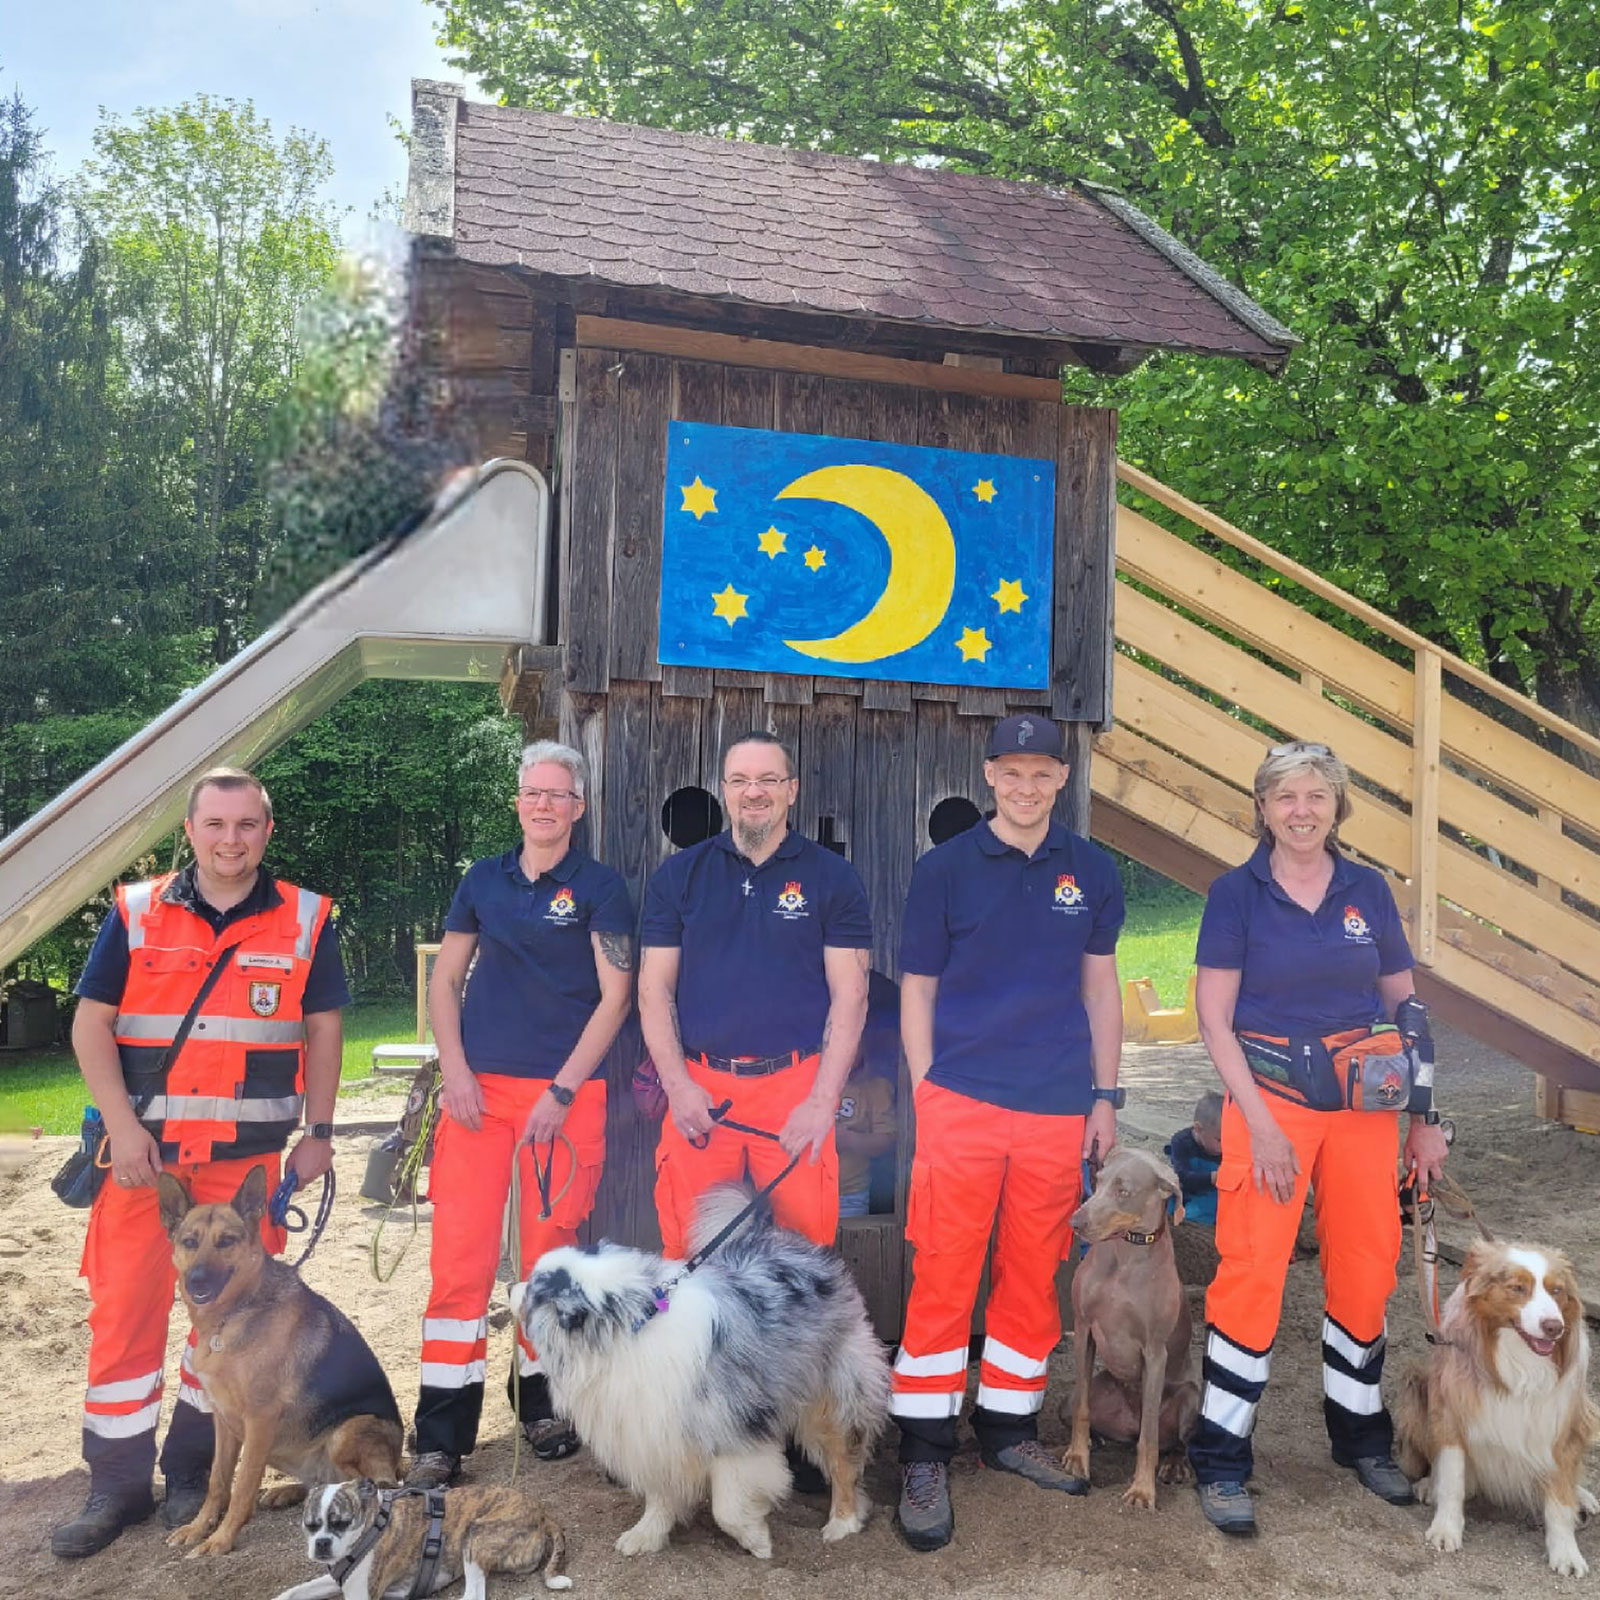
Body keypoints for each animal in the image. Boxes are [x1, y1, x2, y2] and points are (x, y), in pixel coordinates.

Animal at [158, 1171, 403, 1555]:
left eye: (226, 1241)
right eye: (190, 1242)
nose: (196, 1279)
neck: (231, 1316)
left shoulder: (259, 1420)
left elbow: (242, 1485)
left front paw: (221, 1539)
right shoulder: (223, 1420)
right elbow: (218, 1481)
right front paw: (198, 1528)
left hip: (347, 1430)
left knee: (372, 1484)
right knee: (325, 1484)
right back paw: (288, 1492)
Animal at [1062, 1145, 1203, 1504]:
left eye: (1123, 1191)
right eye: (1097, 1180)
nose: (1075, 1222)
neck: (1126, 1255)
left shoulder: (1155, 1353)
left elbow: (1148, 1437)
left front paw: (1142, 1489)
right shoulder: (1084, 1329)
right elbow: (1082, 1407)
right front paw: (1077, 1457)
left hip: (1192, 1398)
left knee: (1176, 1442)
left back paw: (1174, 1465)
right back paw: (1097, 1439)